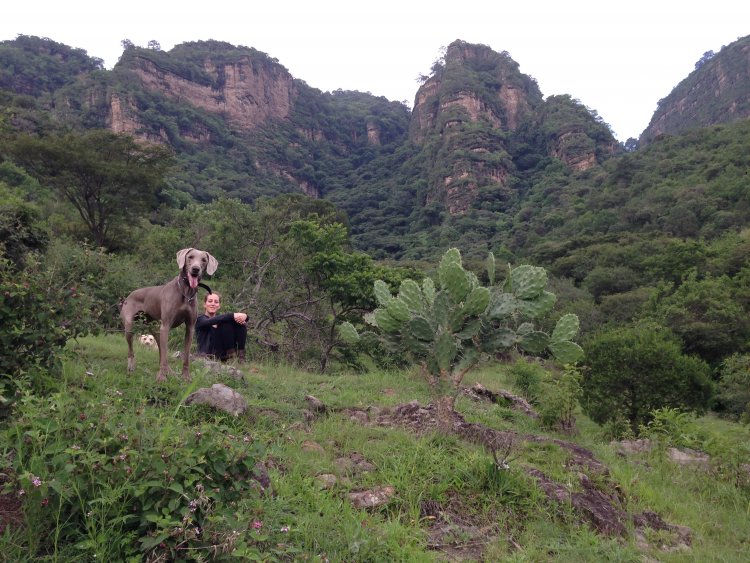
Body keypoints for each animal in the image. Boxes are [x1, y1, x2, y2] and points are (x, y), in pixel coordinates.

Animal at [120, 249, 219, 382]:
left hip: (156, 329)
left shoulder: (190, 327)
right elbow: (165, 355)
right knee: (132, 351)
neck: (186, 292)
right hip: (130, 326)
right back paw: (131, 368)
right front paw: (161, 378)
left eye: (204, 260)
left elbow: (186, 356)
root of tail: (129, 295)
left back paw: (170, 372)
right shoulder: (166, 325)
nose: (195, 269)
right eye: (190, 257)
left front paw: (185, 377)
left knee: (161, 352)